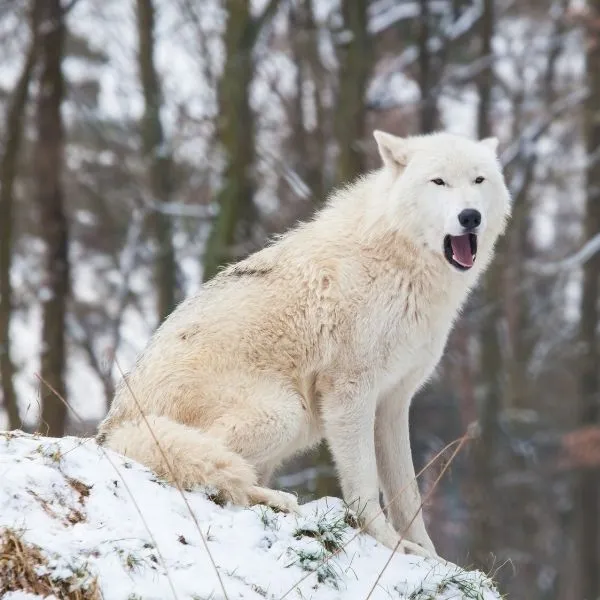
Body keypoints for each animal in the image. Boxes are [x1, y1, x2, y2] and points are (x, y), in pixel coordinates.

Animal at [98, 130, 510, 556]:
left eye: (478, 180)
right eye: (438, 182)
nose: (470, 216)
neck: (397, 262)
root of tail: (112, 430)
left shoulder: (394, 401)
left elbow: (407, 493)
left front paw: (426, 553)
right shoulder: (350, 392)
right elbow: (364, 485)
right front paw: (385, 541)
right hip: (285, 413)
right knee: (214, 465)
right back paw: (276, 499)